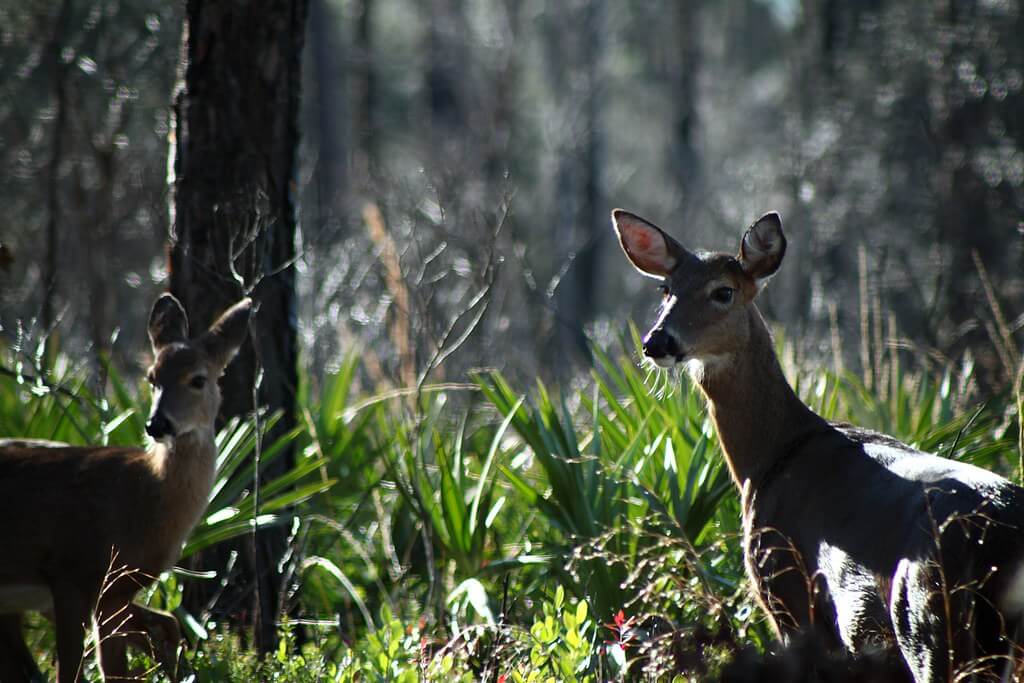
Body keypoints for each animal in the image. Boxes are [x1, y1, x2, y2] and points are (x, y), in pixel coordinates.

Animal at [0, 294, 252, 683]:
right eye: (151, 378)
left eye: (198, 379)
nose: (157, 424)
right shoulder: (70, 570)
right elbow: (78, 670)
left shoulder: (112, 591)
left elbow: (158, 633)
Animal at [614, 209, 1024, 683]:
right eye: (666, 290)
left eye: (723, 292)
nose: (657, 341)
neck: (770, 457)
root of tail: (1003, 540)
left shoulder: (785, 587)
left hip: (928, 621)